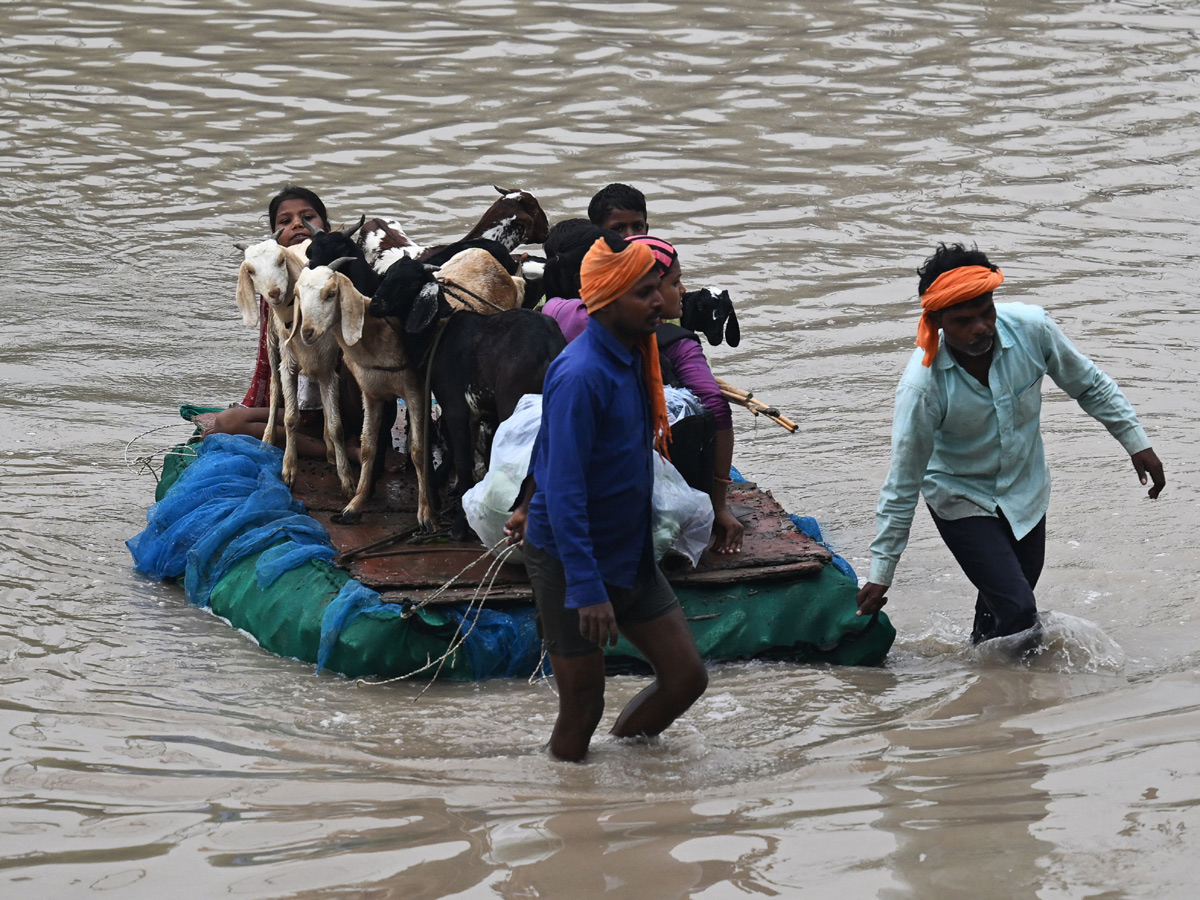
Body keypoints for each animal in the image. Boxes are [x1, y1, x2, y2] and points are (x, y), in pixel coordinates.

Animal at [294, 264, 436, 532]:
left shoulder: (415, 391)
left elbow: (418, 449)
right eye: (297, 295)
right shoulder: (371, 394)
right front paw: (354, 505)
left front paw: (426, 514)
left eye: (331, 294)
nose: (307, 332)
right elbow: (368, 446)